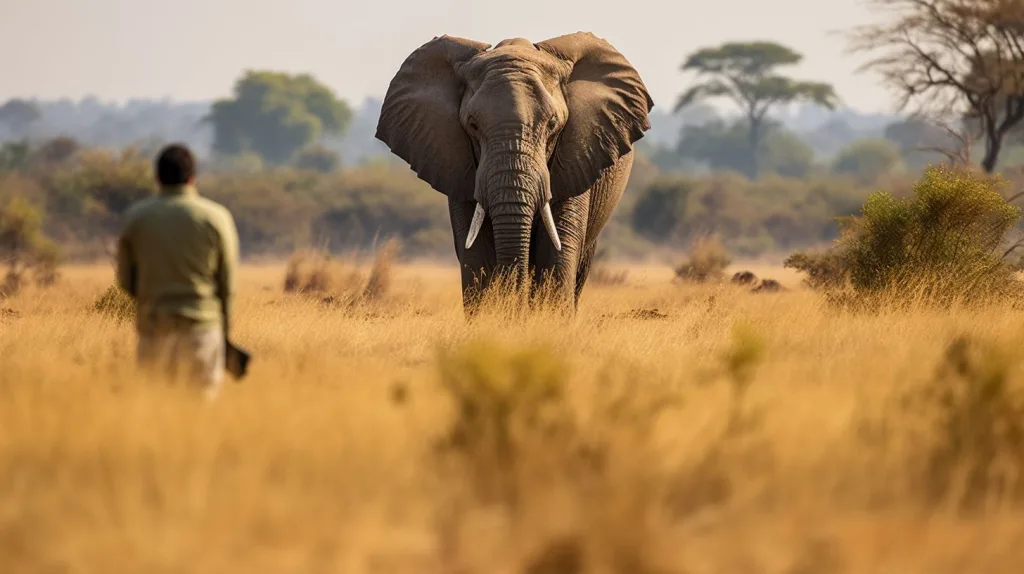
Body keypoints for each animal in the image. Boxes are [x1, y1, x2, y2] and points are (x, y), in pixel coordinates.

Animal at [375, 31, 654, 313]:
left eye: (552, 124)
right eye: (472, 125)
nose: (513, 306)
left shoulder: (577, 156)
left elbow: (556, 255)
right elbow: (476, 254)